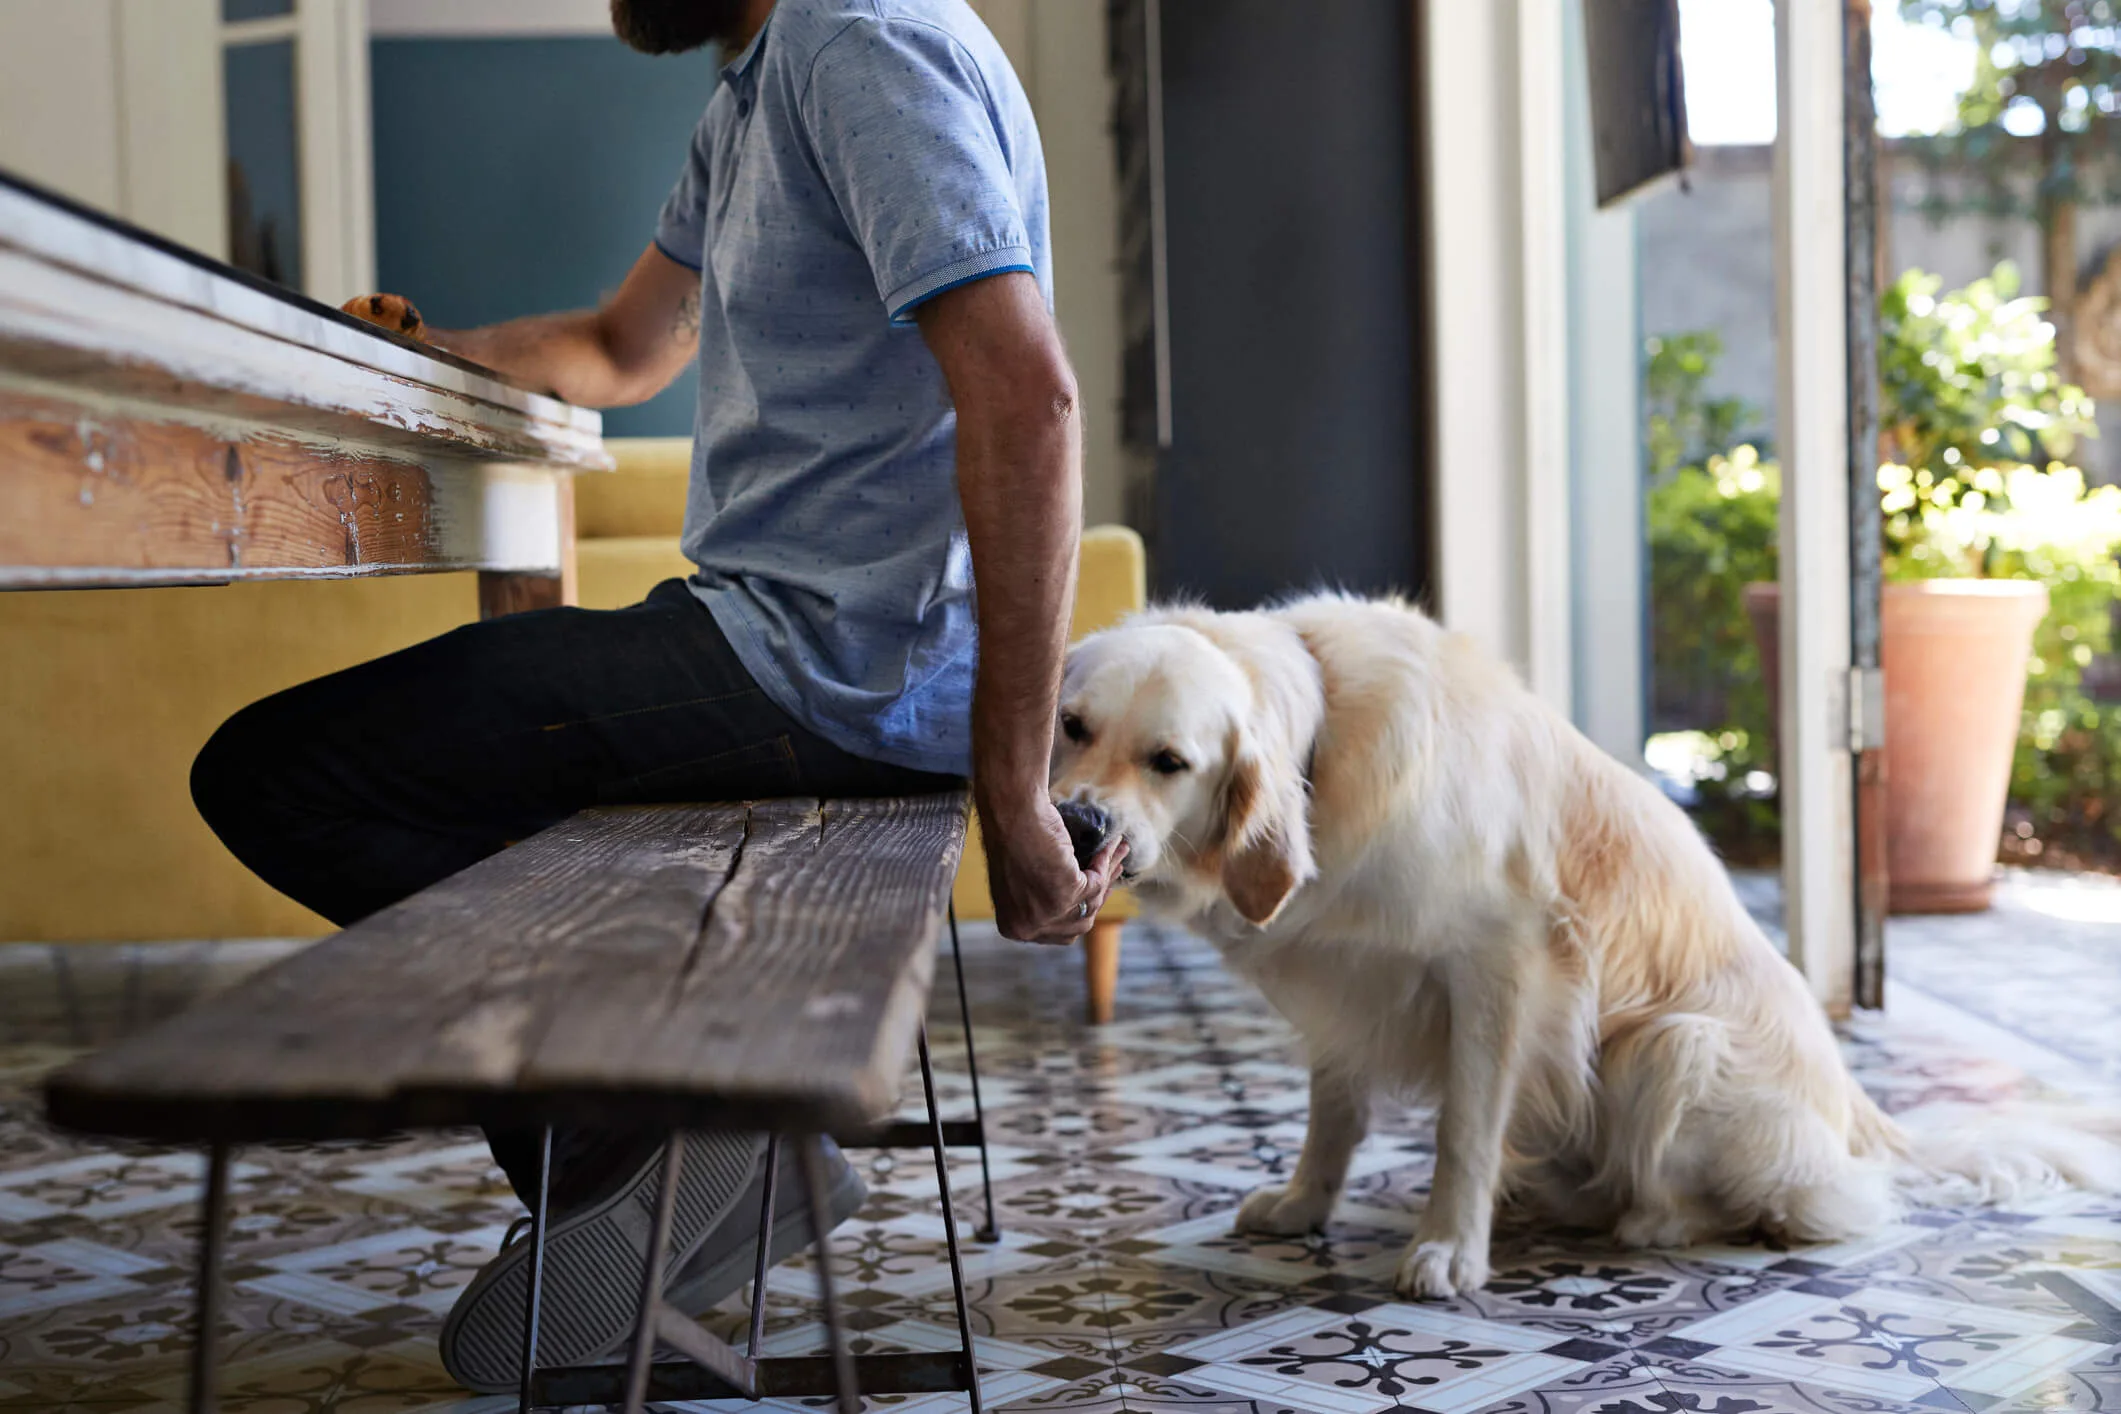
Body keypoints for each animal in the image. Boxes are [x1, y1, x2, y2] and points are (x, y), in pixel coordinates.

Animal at [1047, 593, 2121, 1297]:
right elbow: (1333, 1119)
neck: (1325, 745)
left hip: (1673, 1045)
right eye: (1071, 725)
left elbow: (1464, 1128)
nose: (1079, 824)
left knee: (1784, 1205)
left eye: (1169, 761)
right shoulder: (1346, 985)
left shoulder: (1499, 961)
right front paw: (1304, 1205)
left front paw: (1448, 1248)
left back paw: (1641, 1217)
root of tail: (1860, 1119)